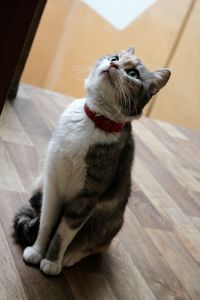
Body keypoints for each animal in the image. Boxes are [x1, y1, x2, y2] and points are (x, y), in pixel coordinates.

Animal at [13, 47, 171, 276]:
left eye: (133, 74)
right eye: (114, 57)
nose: (113, 64)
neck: (95, 121)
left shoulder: (87, 197)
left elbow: (62, 233)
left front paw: (52, 261)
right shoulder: (52, 182)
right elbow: (46, 222)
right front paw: (36, 250)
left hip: (109, 221)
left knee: (96, 245)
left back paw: (70, 257)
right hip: (39, 183)